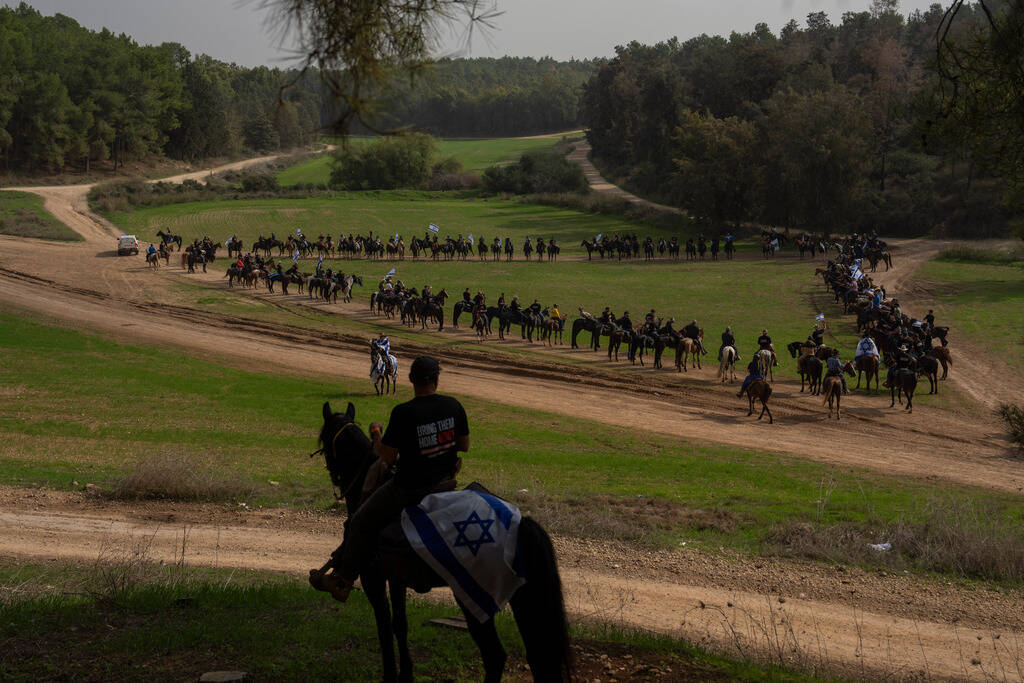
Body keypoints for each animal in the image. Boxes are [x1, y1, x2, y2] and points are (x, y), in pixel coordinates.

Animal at [311, 403, 573, 679]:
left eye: (324, 440)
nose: (336, 479)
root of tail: (523, 525)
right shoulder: (395, 578)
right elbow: (399, 624)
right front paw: (407, 673)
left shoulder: (373, 577)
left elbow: (383, 626)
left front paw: (391, 675)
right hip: (525, 598)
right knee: (538, 657)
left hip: (474, 598)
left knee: (495, 656)